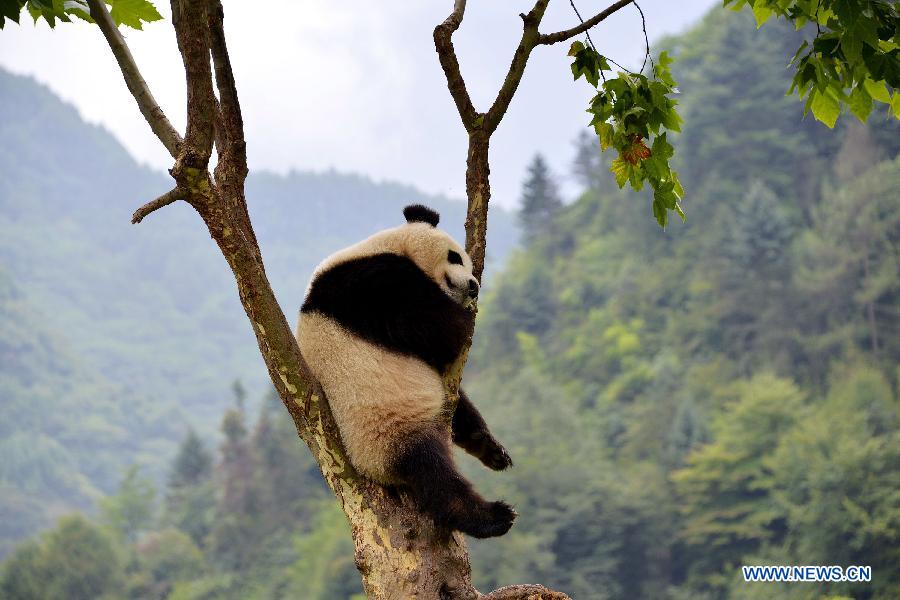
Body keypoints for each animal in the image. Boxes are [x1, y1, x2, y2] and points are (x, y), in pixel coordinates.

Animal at [296, 204, 516, 539]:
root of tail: (372, 470)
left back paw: (490, 449)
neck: (384, 245)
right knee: (433, 473)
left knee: (459, 411)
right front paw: (462, 318)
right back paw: (492, 516)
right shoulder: (372, 282)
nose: (473, 286)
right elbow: (433, 328)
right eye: (455, 257)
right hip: (389, 428)